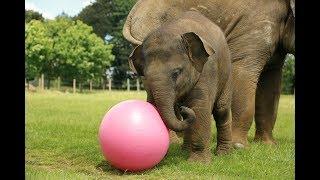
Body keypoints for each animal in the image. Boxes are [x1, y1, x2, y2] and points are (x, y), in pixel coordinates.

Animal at [128, 10, 232, 163]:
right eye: (145, 76)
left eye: (176, 73)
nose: (183, 110)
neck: (174, 29)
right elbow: (155, 105)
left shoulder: (206, 69)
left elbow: (199, 107)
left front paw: (198, 163)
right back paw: (185, 151)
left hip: (227, 74)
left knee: (221, 109)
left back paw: (224, 154)